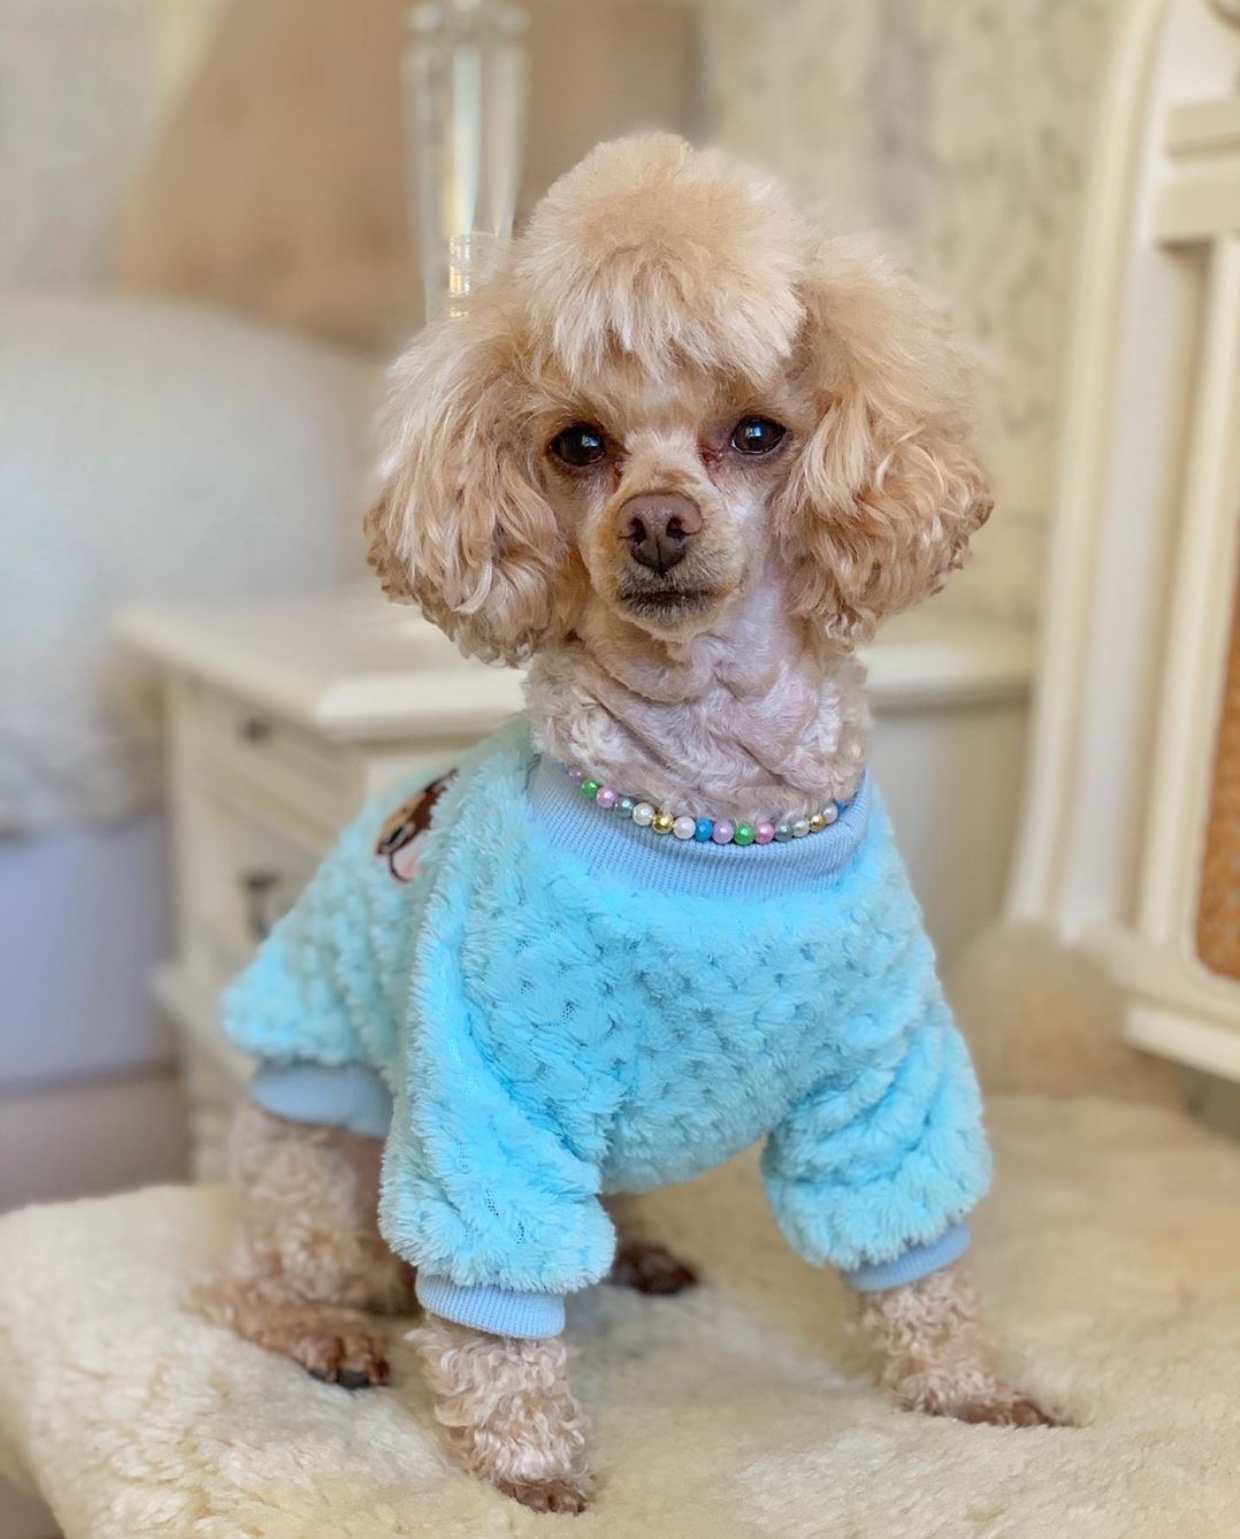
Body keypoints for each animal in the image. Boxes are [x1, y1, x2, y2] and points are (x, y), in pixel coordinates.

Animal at [204, 135, 1058, 1514]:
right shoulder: (491, 1085)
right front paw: (528, 1465)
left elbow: (916, 1254)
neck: (706, 816)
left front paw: (972, 1396)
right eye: (575, 443)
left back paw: (636, 1253)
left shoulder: (881, 1067)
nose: (655, 524)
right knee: (247, 1284)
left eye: (758, 432)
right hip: (313, 1159)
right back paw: (325, 1334)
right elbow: (493, 1313)